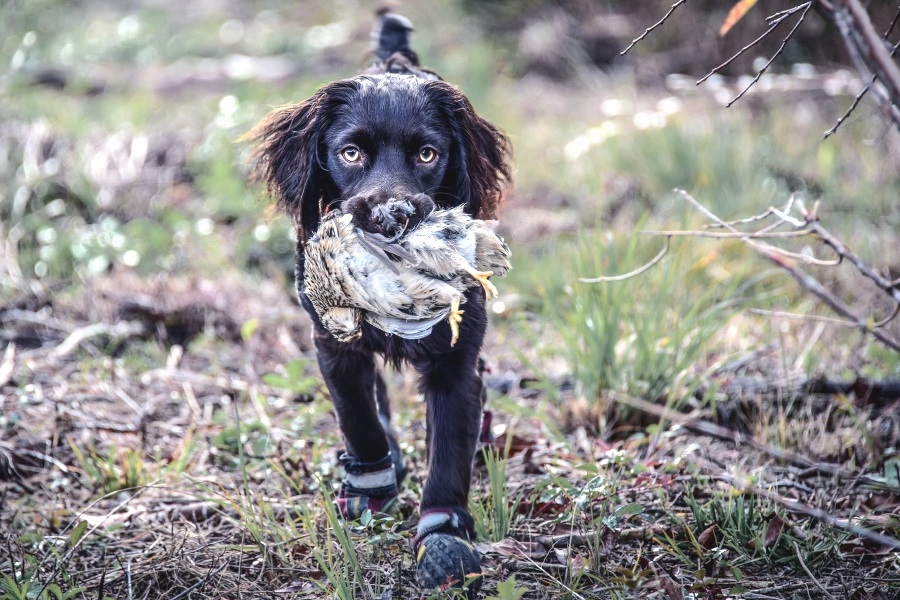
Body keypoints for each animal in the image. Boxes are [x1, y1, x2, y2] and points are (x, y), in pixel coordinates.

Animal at [246, 11, 510, 592]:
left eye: (428, 154)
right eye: (351, 153)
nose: (392, 216)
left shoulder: (456, 363)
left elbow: (449, 451)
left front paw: (444, 537)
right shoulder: (334, 345)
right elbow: (359, 417)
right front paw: (371, 485)